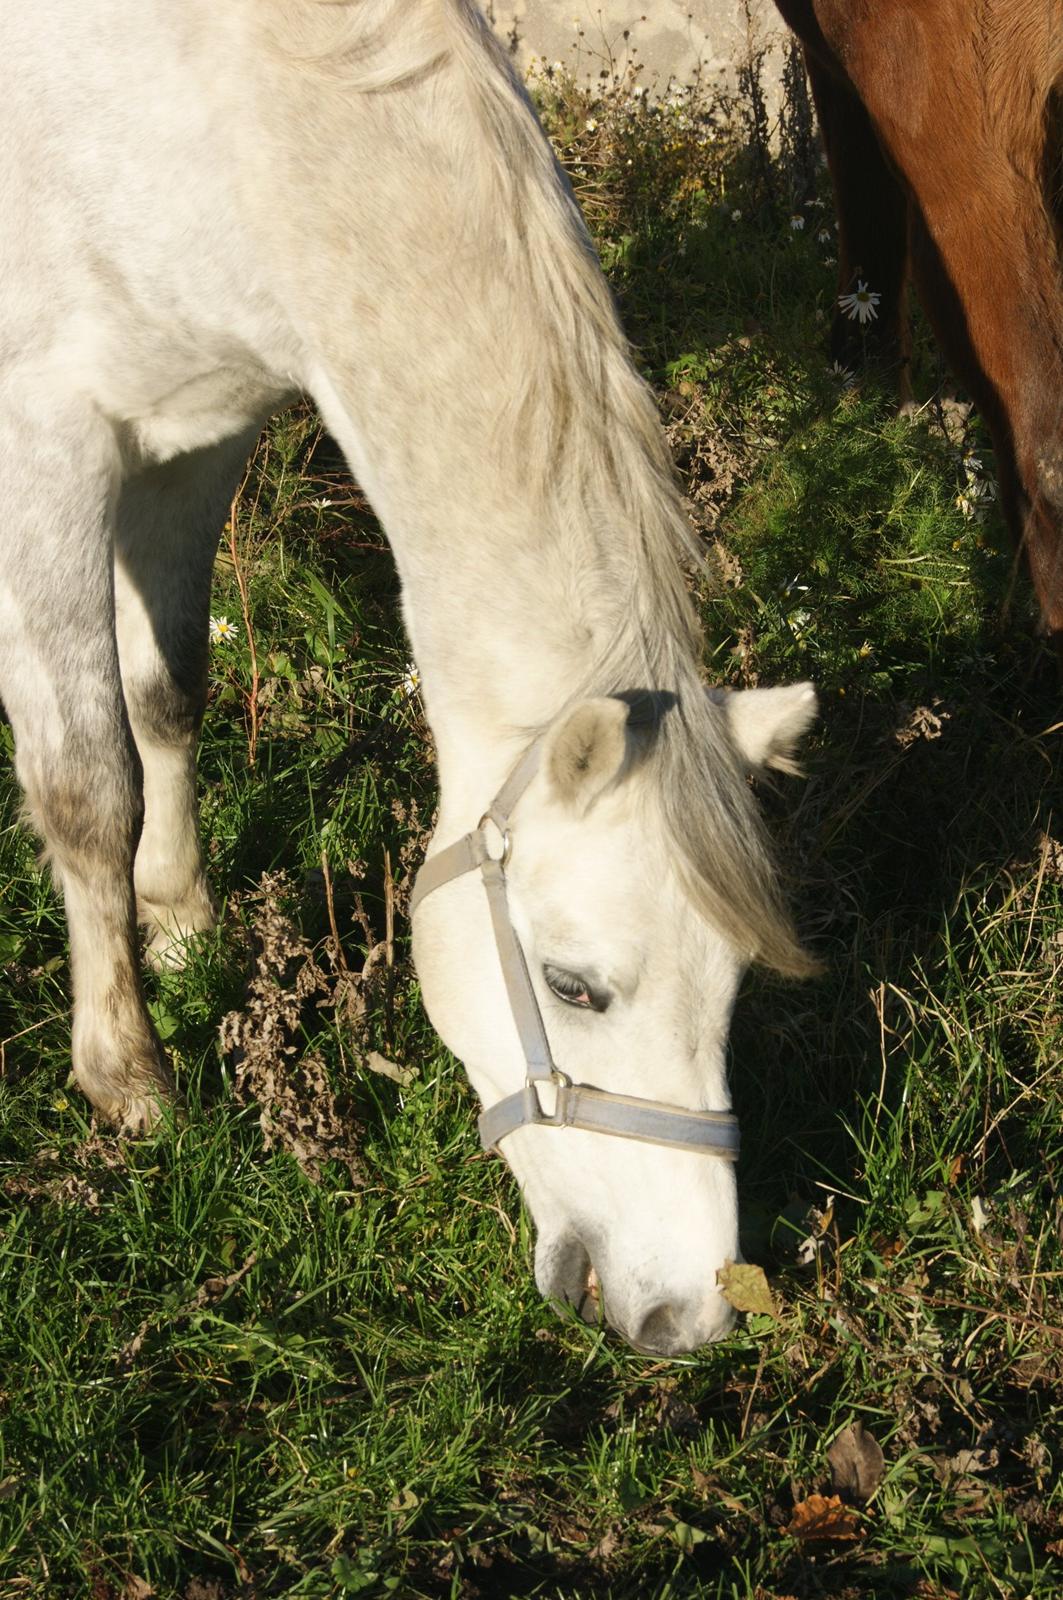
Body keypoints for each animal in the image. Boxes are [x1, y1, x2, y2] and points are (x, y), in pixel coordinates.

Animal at [0, 0, 816, 1356]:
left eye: (737, 986)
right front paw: (128, 1076)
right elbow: (86, 789)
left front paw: (181, 920)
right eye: (575, 988)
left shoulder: (193, 428)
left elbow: (169, 691)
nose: (687, 1311)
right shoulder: (45, 447)